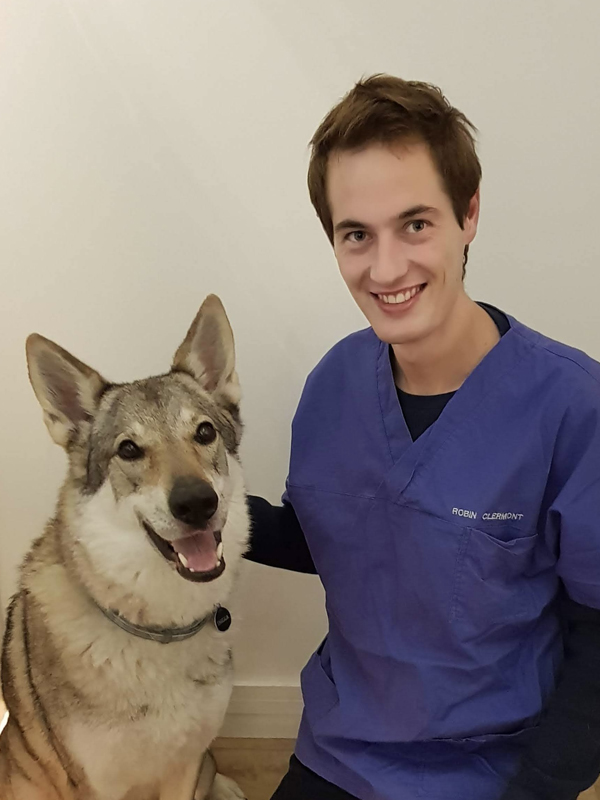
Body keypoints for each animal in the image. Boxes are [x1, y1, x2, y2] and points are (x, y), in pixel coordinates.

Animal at [0, 295, 250, 800]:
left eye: (205, 433)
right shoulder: (96, 784)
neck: (159, 630)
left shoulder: (186, 764)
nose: (197, 503)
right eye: (129, 449)